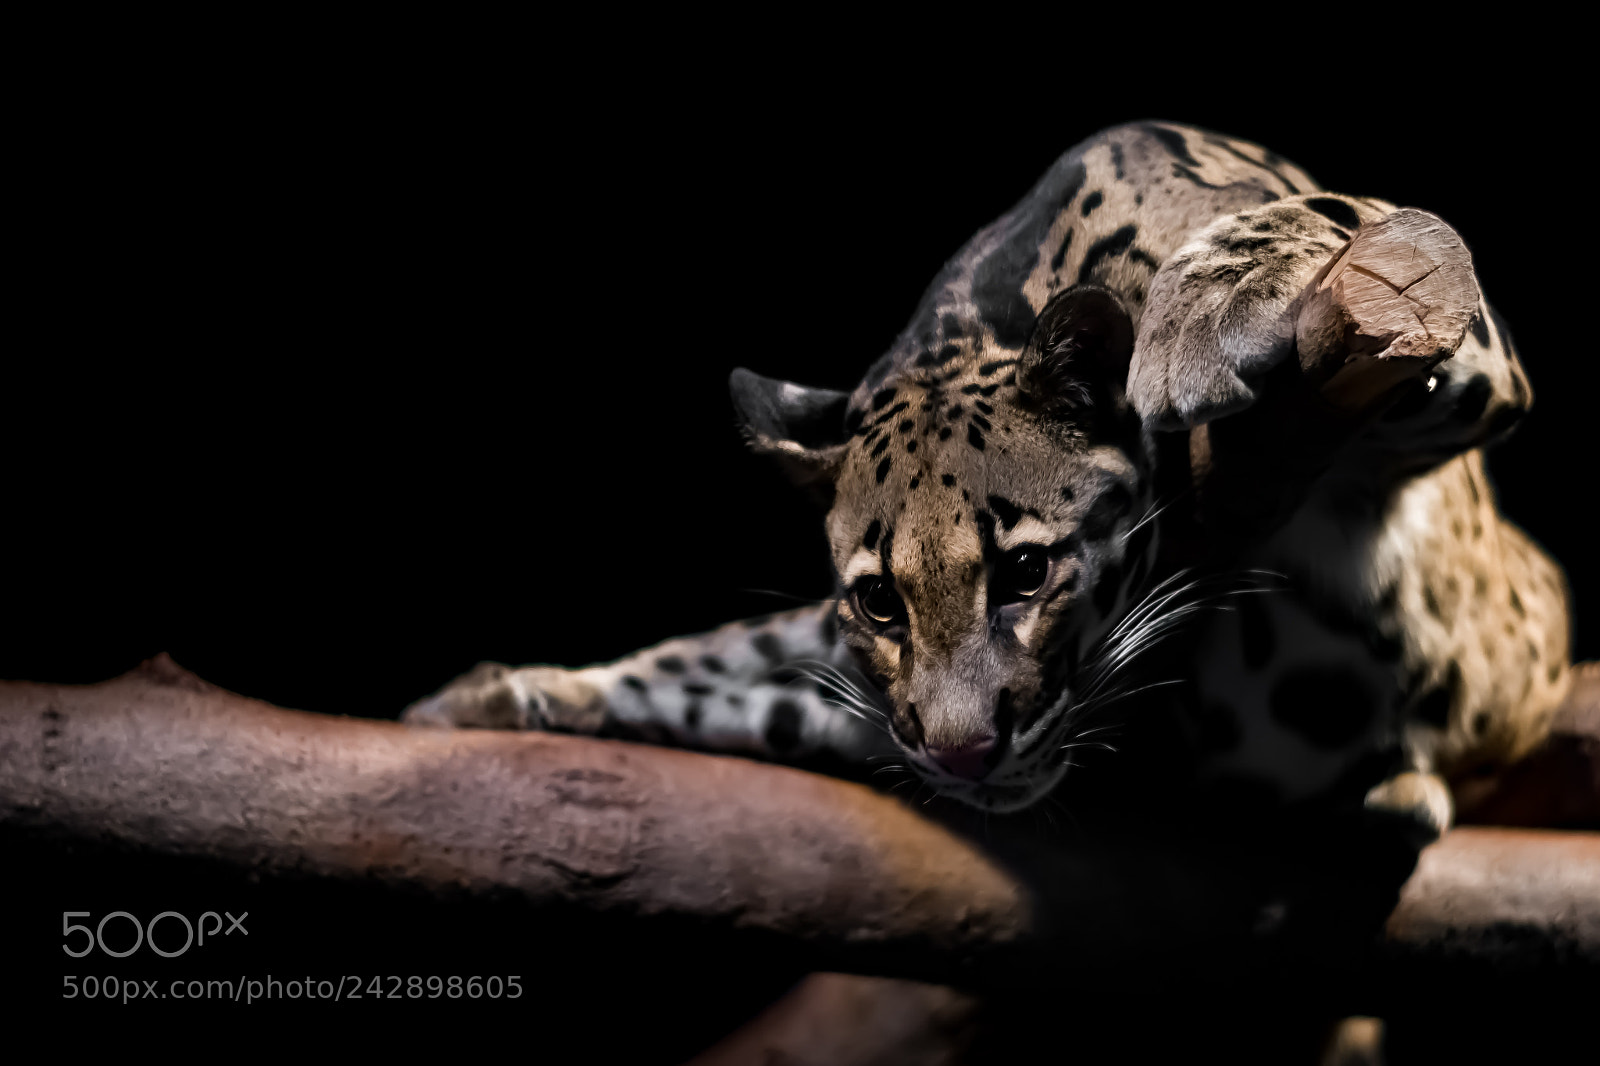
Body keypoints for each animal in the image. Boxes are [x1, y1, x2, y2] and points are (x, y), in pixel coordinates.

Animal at [402, 122, 1572, 852]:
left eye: (1025, 572)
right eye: (879, 600)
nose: (964, 756)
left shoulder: (1465, 374)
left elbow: (1340, 207)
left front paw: (1201, 317)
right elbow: (703, 670)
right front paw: (499, 695)